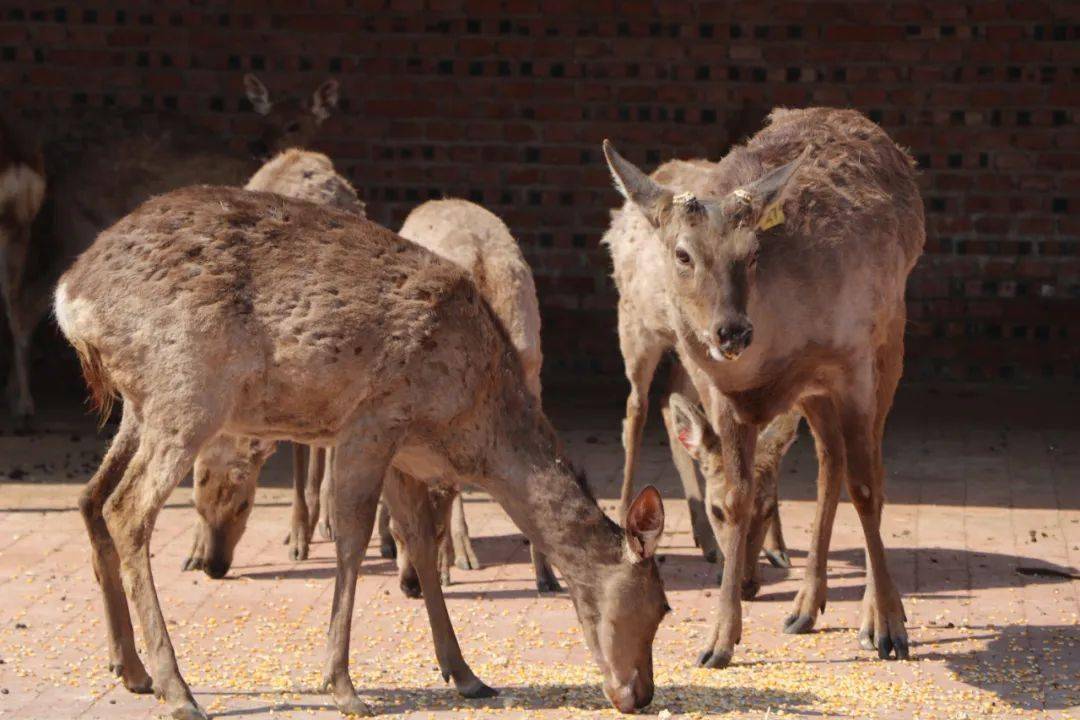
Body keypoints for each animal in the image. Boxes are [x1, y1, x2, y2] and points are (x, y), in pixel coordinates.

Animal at [6, 73, 334, 418]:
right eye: (265, 120)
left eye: (295, 124)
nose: (261, 146)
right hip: (78, 230)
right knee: (27, 301)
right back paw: (24, 404)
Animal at [59, 183, 669, 716]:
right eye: (660, 605)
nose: (640, 694)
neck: (467, 424)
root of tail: (70, 297)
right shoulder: (373, 420)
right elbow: (352, 540)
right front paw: (343, 686)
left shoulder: (402, 451)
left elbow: (419, 542)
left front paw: (466, 674)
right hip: (188, 390)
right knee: (128, 508)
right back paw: (178, 690)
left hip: (141, 405)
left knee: (92, 497)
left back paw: (131, 669)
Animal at [604, 106, 924, 669]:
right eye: (683, 254)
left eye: (752, 253)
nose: (732, 331)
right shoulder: (720, 394)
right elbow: (736, 494)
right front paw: (719, 641)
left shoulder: (854, 362)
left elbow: (867, 487)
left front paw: (888, 628)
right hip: (803, 391)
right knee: (829, 462)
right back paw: (805, 605)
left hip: (890, 338)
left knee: (867, 467)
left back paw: (863, 613)